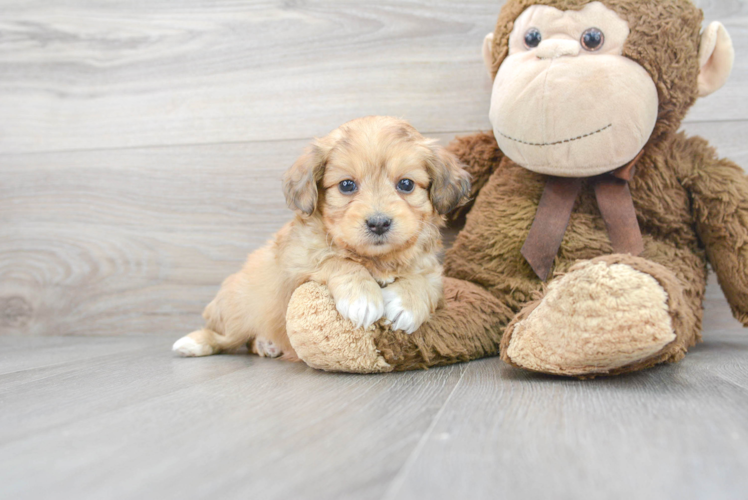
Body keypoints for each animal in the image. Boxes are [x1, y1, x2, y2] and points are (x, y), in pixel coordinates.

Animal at [172, 116, 470, 360]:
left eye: (406, 184)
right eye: (347, 185)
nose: (379, 223)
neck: (375, 260)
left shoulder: (430, 268)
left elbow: (427, 282)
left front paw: (406, 303)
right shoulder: (294, 269)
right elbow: (335, 261)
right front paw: (362, 296)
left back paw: (266, 344)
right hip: (238, 308)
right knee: (225, 337)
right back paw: (194, 343)